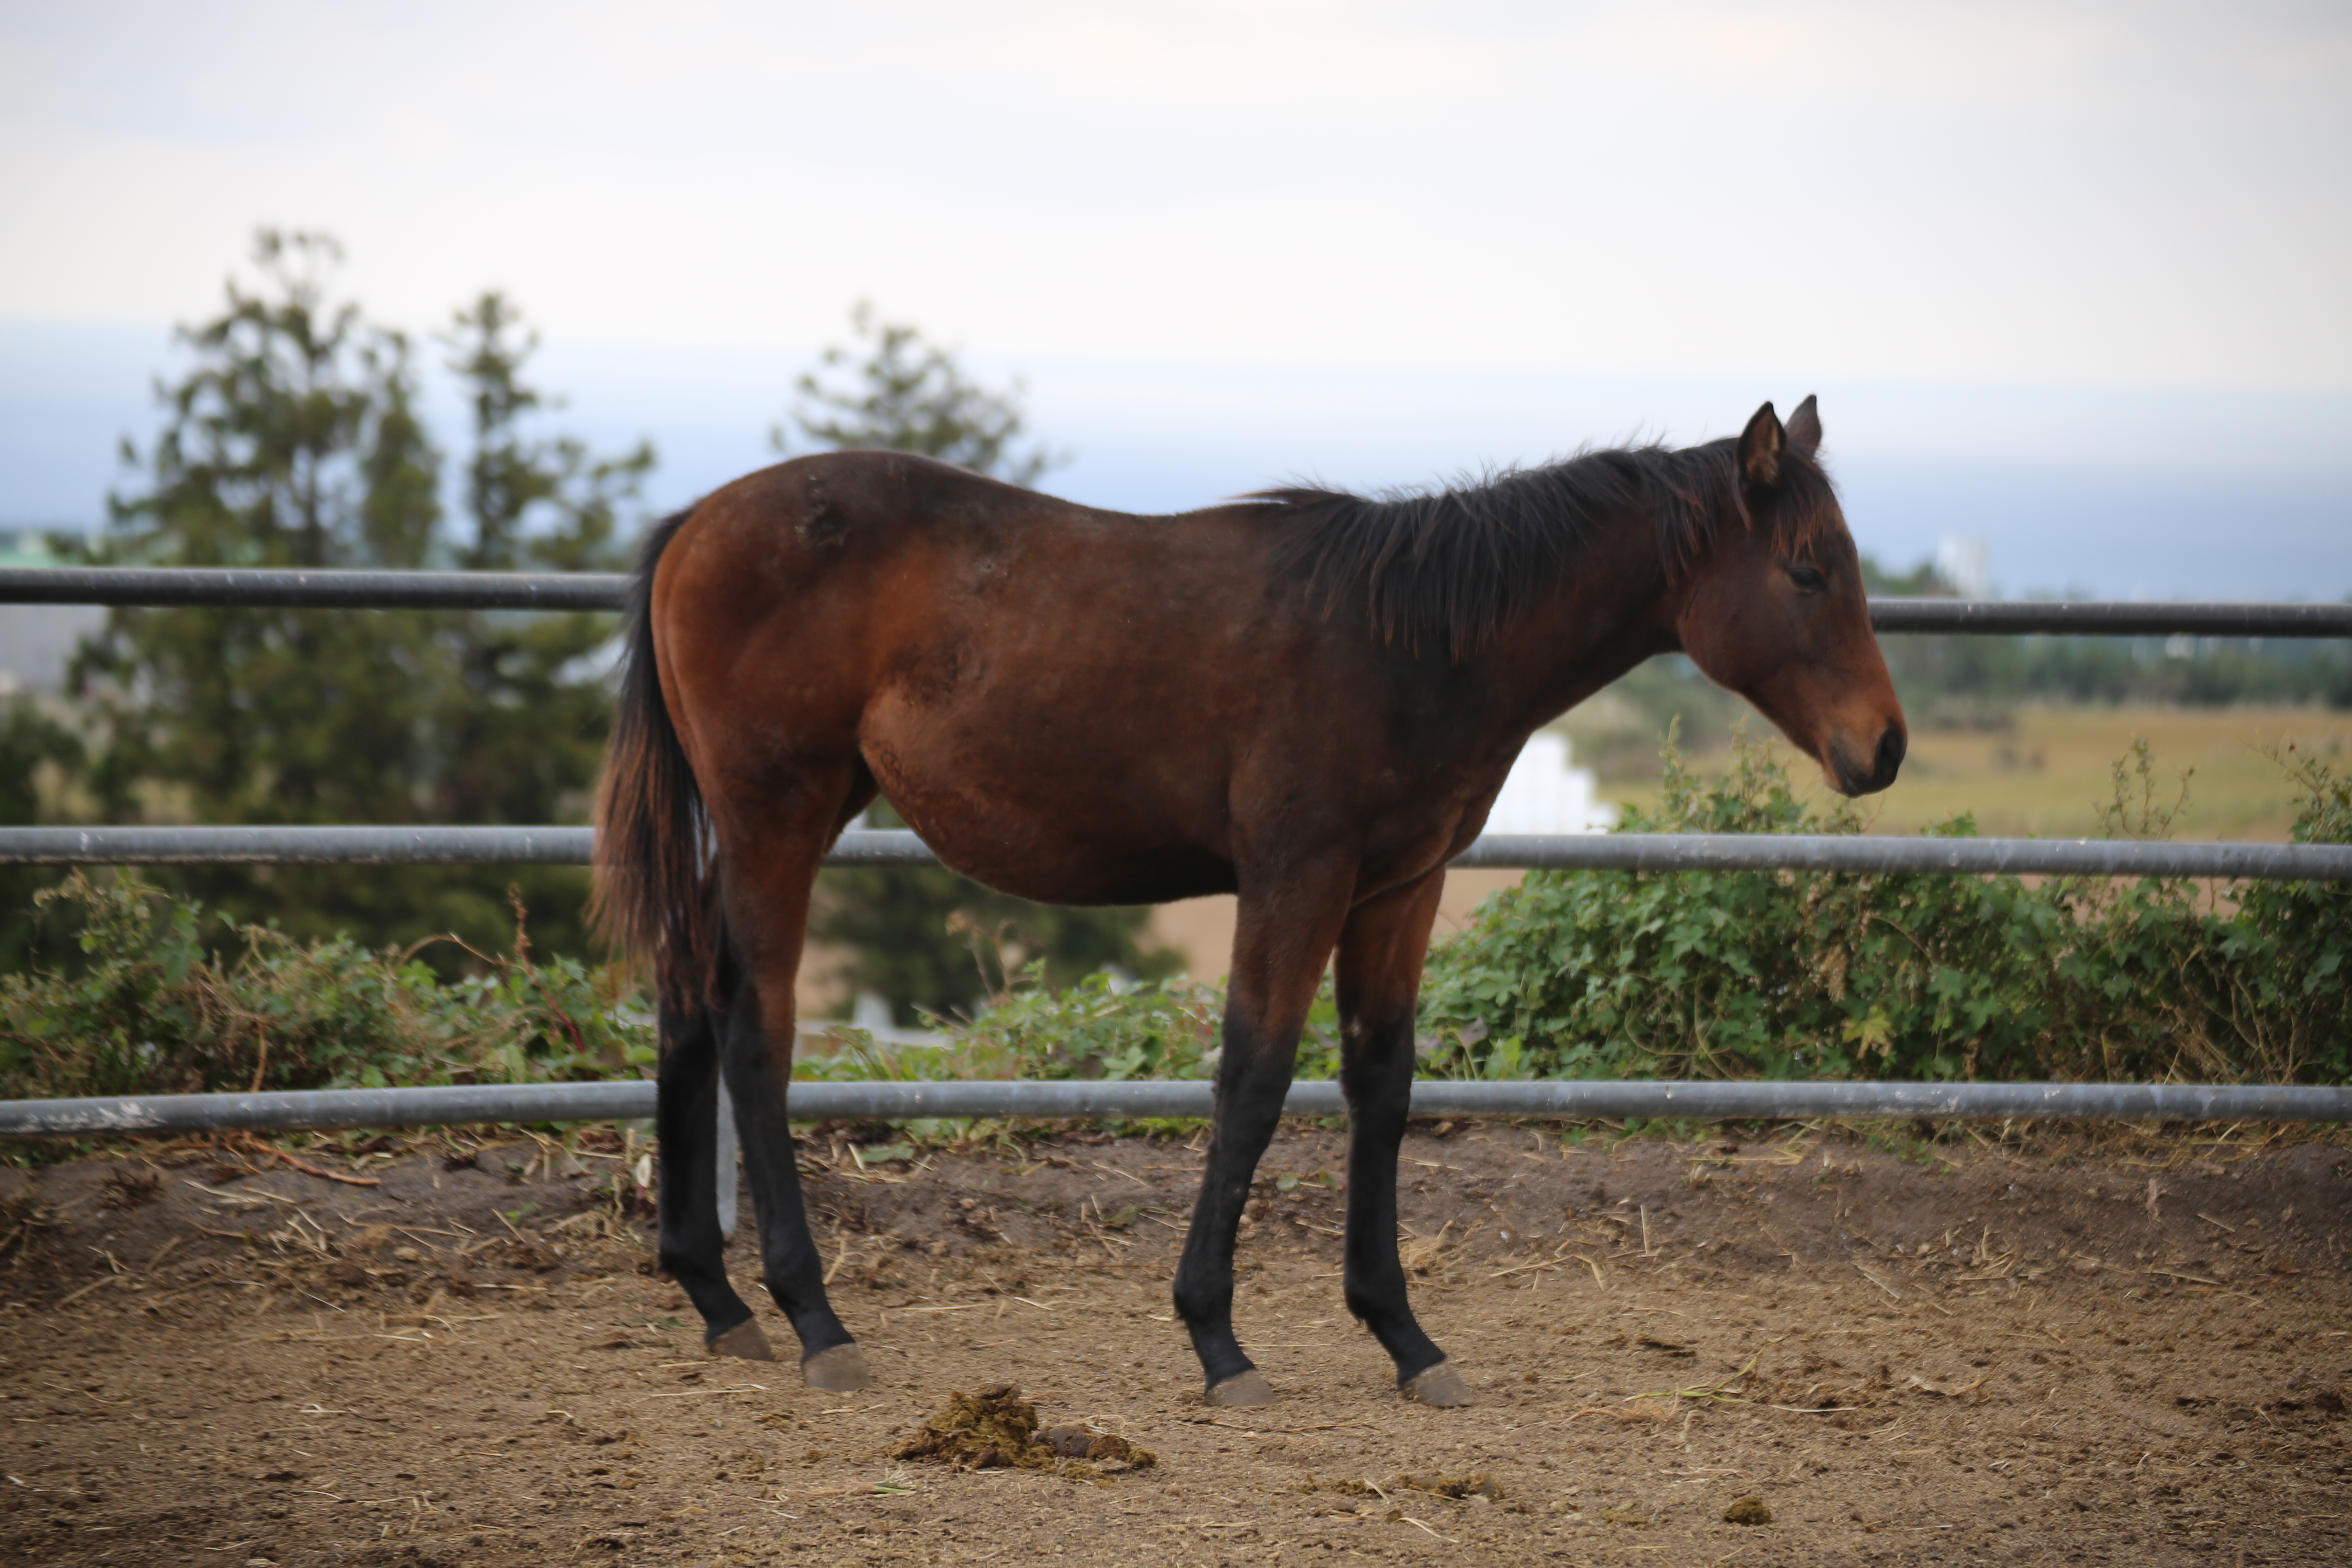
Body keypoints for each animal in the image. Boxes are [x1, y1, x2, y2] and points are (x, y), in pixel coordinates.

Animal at [597, 395, 1900, 1410]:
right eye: (1805, 570)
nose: (1881, 748)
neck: (1412, 641)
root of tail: (694, 525)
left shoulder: (1397, 888)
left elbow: (1381, 1084)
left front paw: (1404, 1336)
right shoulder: (1295, 877)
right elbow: (1256, 1079)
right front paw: (1217, 1338)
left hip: (776, 824)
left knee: (687, 1003)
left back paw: (716, 1296)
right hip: (777, 818)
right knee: (754, 1032)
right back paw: (815, 1318)